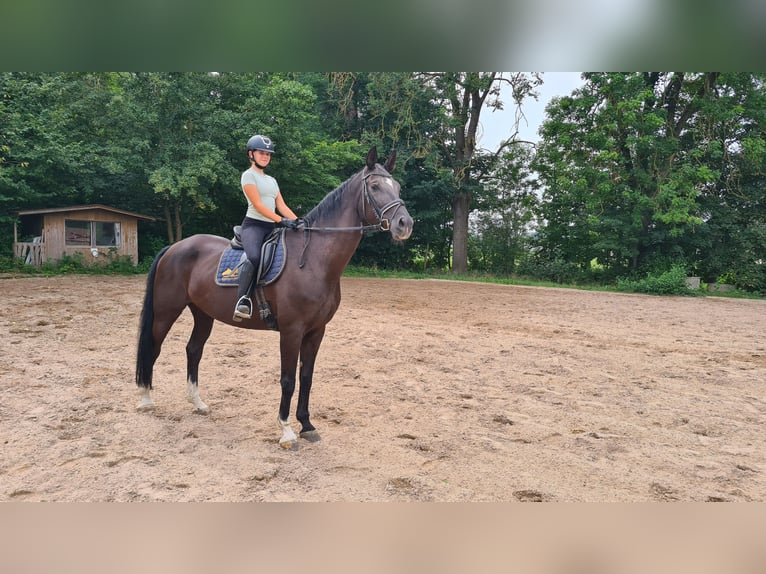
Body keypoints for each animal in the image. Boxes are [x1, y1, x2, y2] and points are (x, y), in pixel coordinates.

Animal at [135, 147, 416, 450]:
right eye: (374, 186)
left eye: (397, 187)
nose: (405, 224)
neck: (313, 260)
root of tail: (174, 247)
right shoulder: (292, 330)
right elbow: (288, 379)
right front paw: (286, 431)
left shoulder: (317, 330)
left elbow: (306, 377)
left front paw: (307, 425)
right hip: (166, 310)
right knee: (153, 347)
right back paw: (146, 398)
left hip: (203, 313)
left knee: (193, 350)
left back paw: (197, 403)